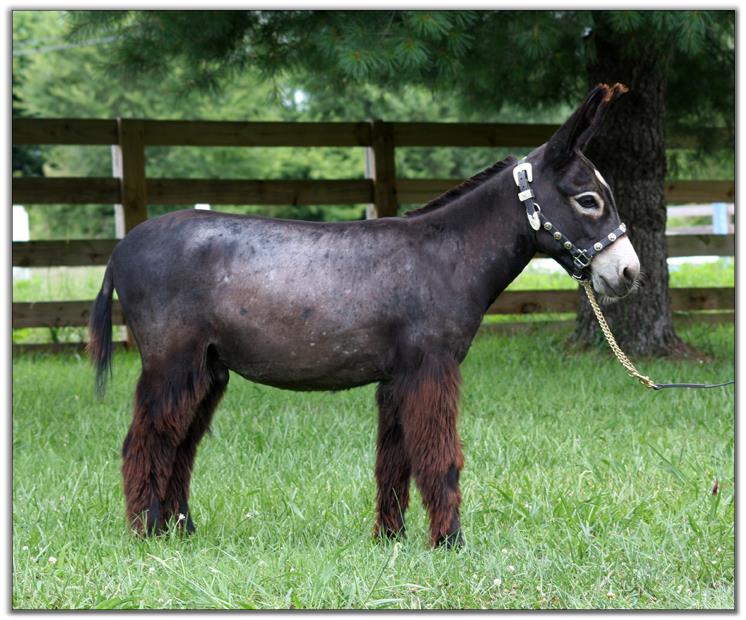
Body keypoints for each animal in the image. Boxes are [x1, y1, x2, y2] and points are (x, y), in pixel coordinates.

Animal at [88, 83, 639, 547]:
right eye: (588, 199)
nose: (629, 272)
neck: (445, 256)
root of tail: (121, 248)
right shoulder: (430, 368)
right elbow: (440, 457)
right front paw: (450, 543)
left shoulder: (398, 378)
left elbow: (394, 461)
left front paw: (389, 538)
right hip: (172, 363)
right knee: (143, 443)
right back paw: (144, 535)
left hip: (206, 368)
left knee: (178, 445)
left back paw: (177, 532)